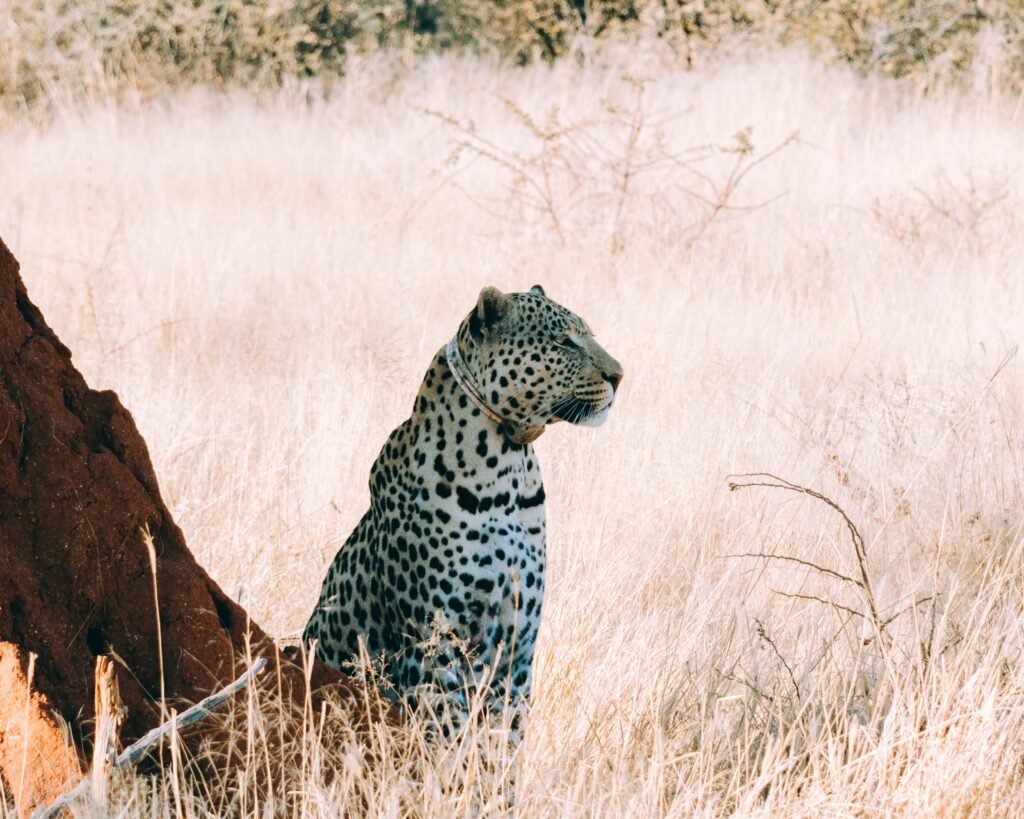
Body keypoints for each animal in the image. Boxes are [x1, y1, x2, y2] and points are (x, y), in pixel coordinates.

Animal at [303, 284, 623, 728]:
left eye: (587, 335)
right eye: (563, 342)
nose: (620, 376)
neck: (509, 469)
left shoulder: (517, 649)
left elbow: (505, 734)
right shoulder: (436, 647)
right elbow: (445, 729)